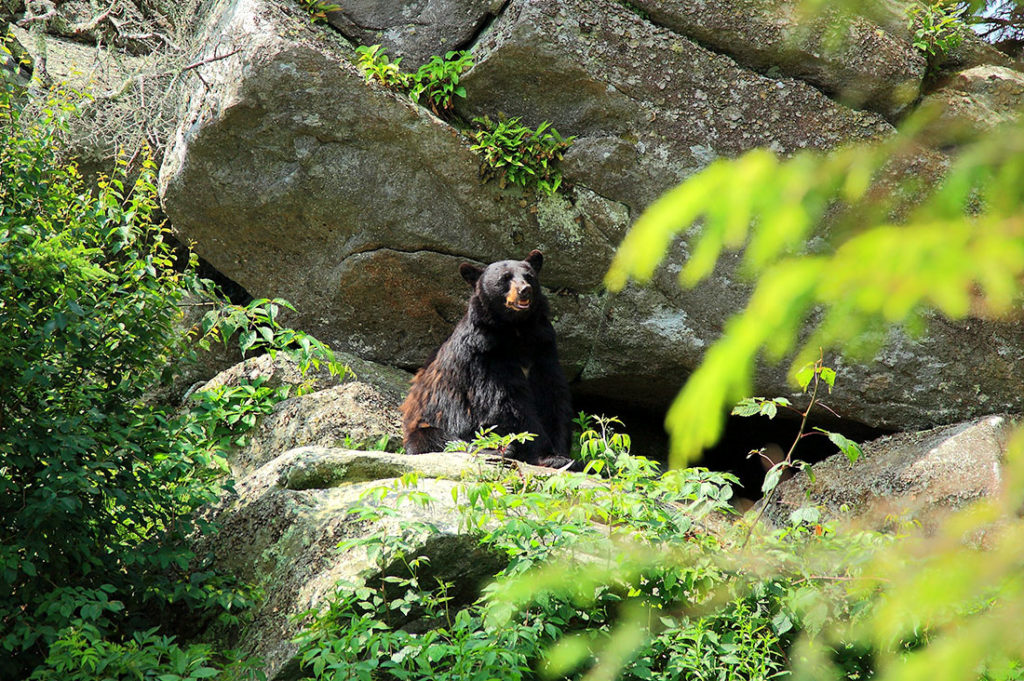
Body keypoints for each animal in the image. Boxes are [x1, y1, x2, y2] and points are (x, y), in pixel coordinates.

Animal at [399, 249, 577, 466]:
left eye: (529, 276)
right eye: (505, 278)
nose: (525, 290)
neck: (517, 330)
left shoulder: (543, 350)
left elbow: (553, 397)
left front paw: (562, 455)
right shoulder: (485, 355)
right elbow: (508, 404)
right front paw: (547, 455)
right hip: (428, 425)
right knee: (443, 440)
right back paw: (497, 449)